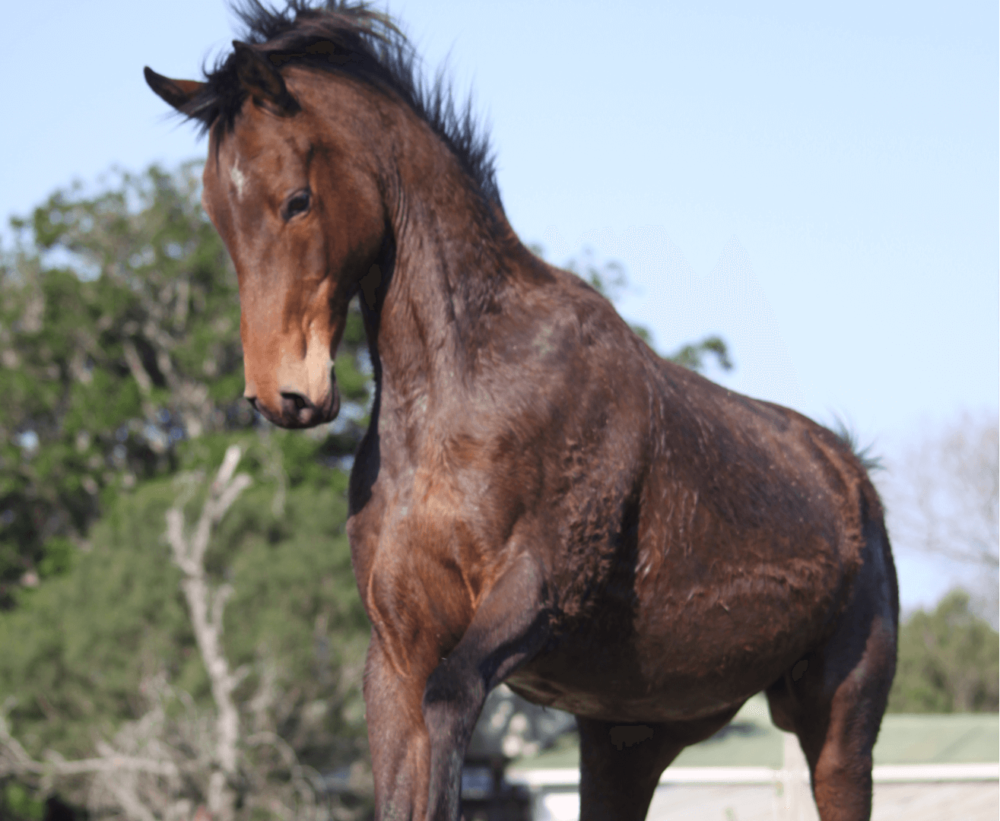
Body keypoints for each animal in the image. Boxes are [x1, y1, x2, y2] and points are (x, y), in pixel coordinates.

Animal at [146, 3, 900, 816]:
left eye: (296, 200)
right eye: (217, 214)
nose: (282, 395)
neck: (460, 395)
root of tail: (852, 476)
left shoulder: (532, 598)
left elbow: (450, 709)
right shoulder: (397, 650)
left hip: (839, 730)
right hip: (630, 740)